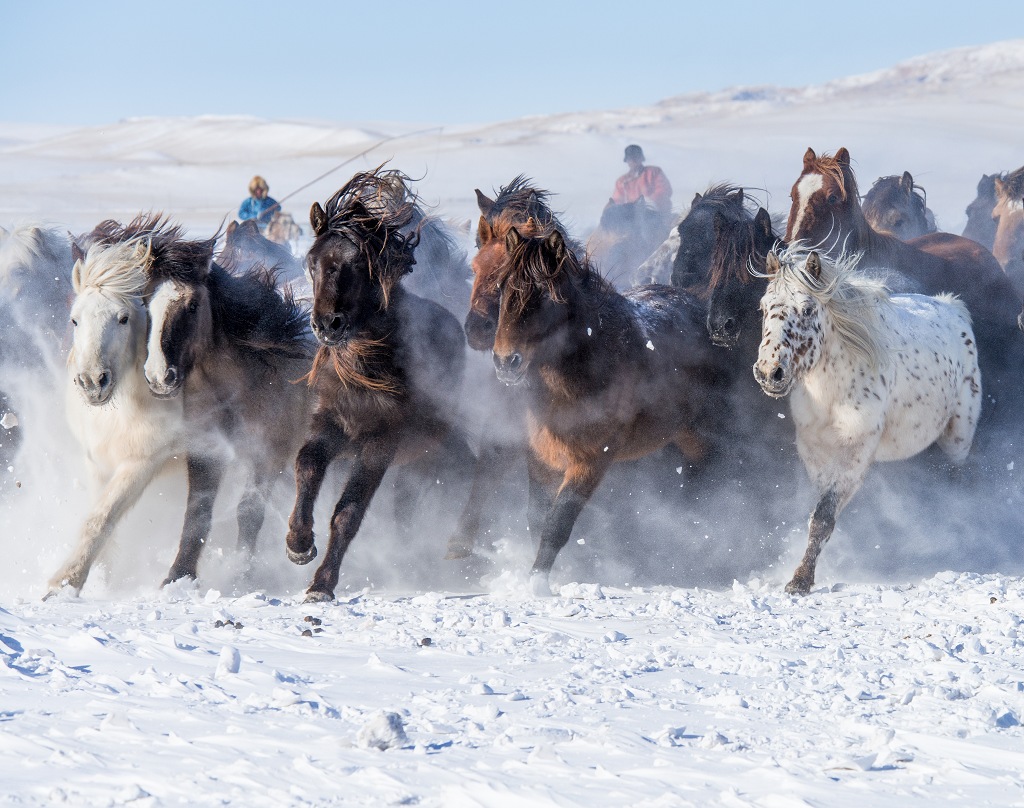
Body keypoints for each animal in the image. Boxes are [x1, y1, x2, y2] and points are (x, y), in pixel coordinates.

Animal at [141, 210, 315, 581]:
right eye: (145, 303)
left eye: (193, 305)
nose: (159, 377)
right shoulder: (206, 452)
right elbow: (197, 512)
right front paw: (178, 576)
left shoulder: (268, 456)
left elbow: (249, 513)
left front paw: (242, 575)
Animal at [491, 227, 733, 593]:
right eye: (503, 288)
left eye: (544, 294)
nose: (506, 361)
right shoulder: (540, 457)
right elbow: (537, 518)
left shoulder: (591, 462)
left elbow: (558, 522)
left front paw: (538, 585)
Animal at [757, 245, 978, 593]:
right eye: (764, 307)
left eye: (807, 309)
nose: (769, 372)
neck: (832, 392)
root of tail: (951, 306)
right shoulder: (814, 452)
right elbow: (821, 510)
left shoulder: (855, 452)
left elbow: (823, 517)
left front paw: (800, 581)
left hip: (959, 436)